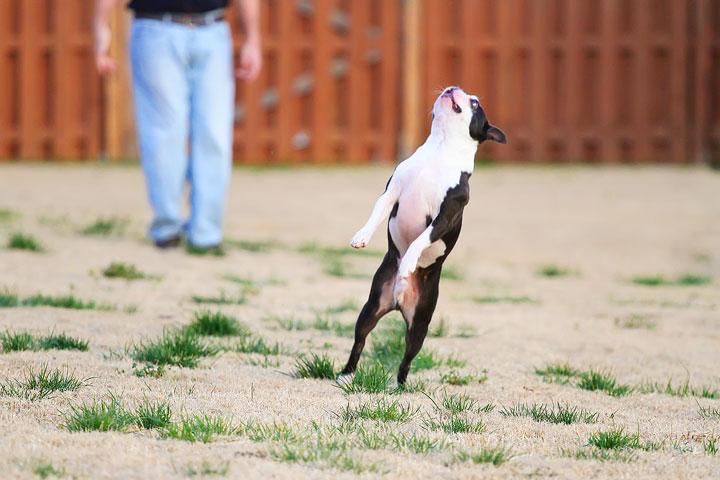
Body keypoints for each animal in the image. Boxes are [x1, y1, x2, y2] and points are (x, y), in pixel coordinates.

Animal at [338, 86, 506, 386]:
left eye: (475, 103)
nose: (453, 88)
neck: (440, 150)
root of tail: (397, 300)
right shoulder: (391, 192)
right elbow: (375, 214)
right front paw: (361, 236)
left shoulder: (444, 217)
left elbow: (420, 240)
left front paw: (407, 263)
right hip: (371, 308)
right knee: (360, 340)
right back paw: (347, 374)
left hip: (420, 323)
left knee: (407, 357)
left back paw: (398, 385)